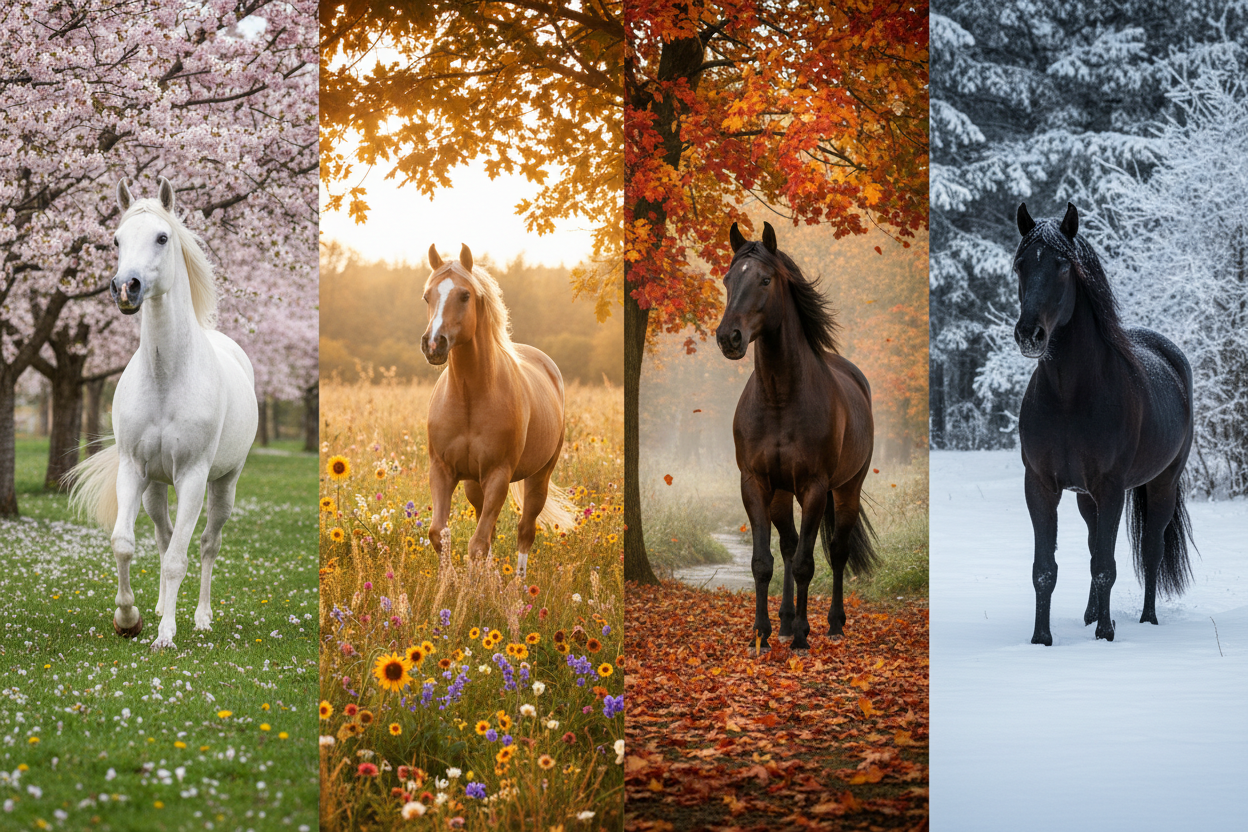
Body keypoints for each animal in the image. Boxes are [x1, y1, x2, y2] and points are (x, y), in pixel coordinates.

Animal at [68, 177, 258, 650]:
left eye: (162, 237)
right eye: (116, 240)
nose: (126, 288)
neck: (166, 377)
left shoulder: (191, 477)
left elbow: (178, 559)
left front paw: (166, 636)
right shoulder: (133, 470)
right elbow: (125, 543)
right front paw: (129, 618)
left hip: (223, 485)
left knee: (206, 545)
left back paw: (201, 616)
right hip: (155, 488)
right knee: (163, 536)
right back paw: (156, 608)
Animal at [420, 243, 576, 579]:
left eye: (465, 295)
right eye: (427, 296)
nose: (434, 344)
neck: (469, 396)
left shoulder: (498, 475)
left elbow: (477, 544)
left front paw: (473, 588)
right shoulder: (442, 470)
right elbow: (439, 533)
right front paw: (448, 584)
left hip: (539, 476)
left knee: (525, 530)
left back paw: (518, 584)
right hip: (472, 484)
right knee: (489, 528)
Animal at [715, 221, 879, 652]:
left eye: (765, 279)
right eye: (727, 279)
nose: (728, 338)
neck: (779, 398)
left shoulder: (815, 486)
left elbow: (808, 563)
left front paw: (804, 637)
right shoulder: (755, 483)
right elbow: (763, 562)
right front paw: (762, 632)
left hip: (847, 488)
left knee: (836, 551)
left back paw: (833, 624)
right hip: (780, 493)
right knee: (787, 547)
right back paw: (786, 622)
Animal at [1013, 202, 1195, 645]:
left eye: (1063, 265)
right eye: (1020, 265)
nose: (1029, 334)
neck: (1069, 396)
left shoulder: (1112, 488)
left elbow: (1106, 567)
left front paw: (1107, 634)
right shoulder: (1040, 486)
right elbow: (1045, 569)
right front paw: (1041, 639)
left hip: (1162, 485)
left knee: (1150, 551)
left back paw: (1147, 618)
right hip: (1086, 498)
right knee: (1096, 543)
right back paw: (1090, 614)